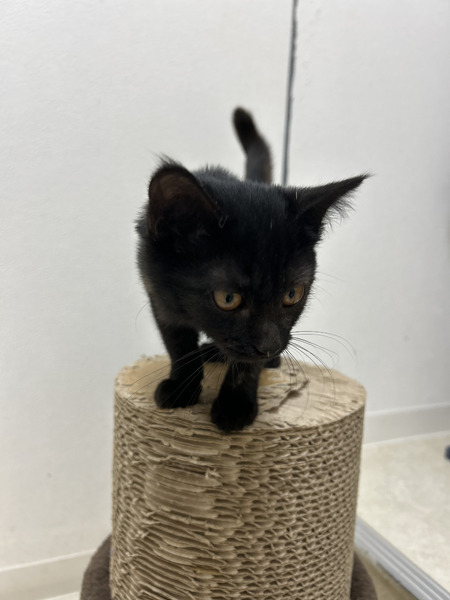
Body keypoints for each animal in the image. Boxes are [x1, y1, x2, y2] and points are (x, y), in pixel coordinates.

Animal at [136, 108, 366, 432]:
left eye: (292, 294)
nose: (270, 347)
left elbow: (246, 364)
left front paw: (235, 405)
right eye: (227, 298)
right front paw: (182, 387)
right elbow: (178, 344)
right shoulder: (158, 293)